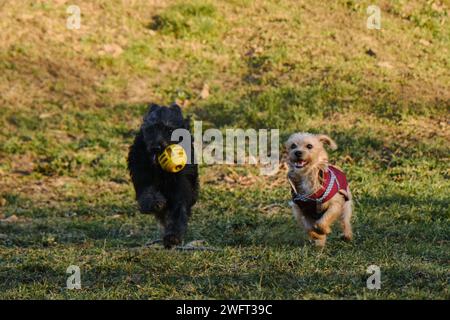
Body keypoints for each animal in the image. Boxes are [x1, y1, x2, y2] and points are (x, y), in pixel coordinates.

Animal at [125, 104, 198, 249]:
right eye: (151, 129)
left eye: (169, 129)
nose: (156, 147)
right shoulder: (143, 177)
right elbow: (148, 192)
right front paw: (155, 202)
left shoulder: (181, 187)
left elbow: (179, 210)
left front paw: (172, 237)